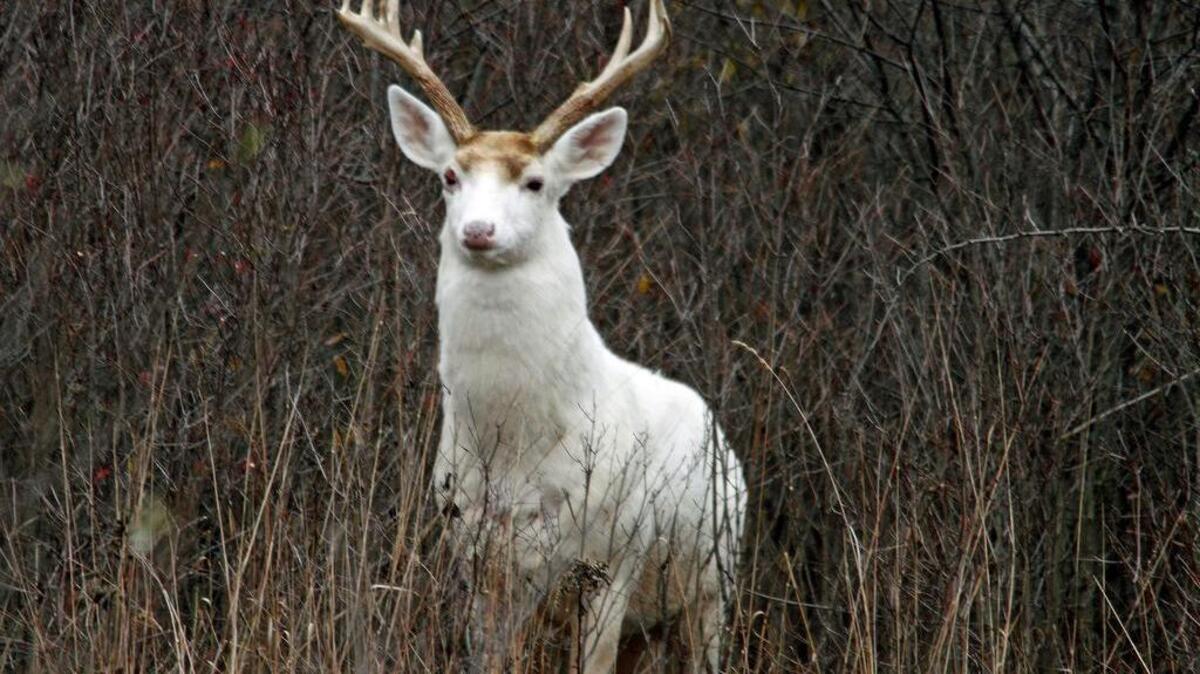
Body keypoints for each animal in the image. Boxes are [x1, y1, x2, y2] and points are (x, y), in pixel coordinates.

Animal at [336, 1, 745, 671]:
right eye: (450, 176)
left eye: (533, 182)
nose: (478, 230)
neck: (517, 450)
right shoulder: (477, 555)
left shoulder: (613, 554)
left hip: (713, 582)